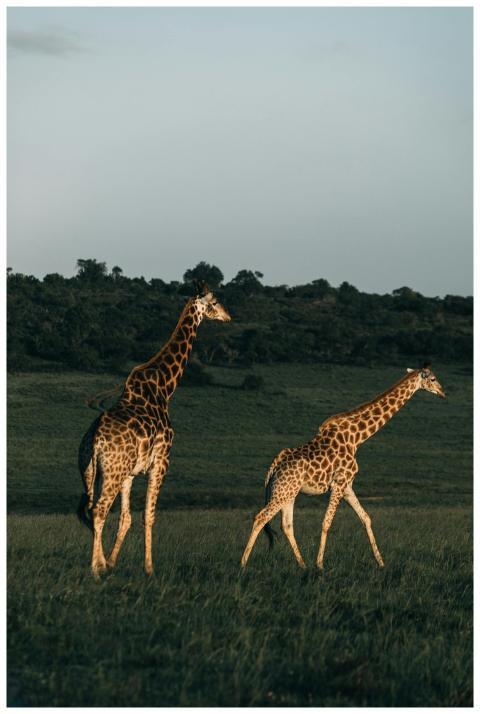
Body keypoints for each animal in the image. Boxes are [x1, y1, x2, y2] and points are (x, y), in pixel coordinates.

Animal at [78, 285, 231, 578]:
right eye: (215, 301)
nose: (228, 316)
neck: (165, 388)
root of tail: (94, 440)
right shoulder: (161, 461)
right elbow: (148, 515)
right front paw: (149, 567)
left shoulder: (130, 472)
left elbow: (125, 517)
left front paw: (112, 562)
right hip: (112, 471)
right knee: (99, 510)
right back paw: (94, 569)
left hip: (91, 470)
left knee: (91, 508)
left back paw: (99, 564)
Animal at [241, 366, 446, 570]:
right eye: (433, 379)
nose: (443, 393)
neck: (357, 438)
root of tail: (275, 465)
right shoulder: (339, 484)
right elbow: (326, 522)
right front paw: (320, 565)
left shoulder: (347, 486)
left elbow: (366, 518)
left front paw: (380, 562)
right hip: (283, 492)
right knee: (261, 518)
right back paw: (243, 564)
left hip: (288, 492)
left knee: (287, 525)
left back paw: (302, 565)